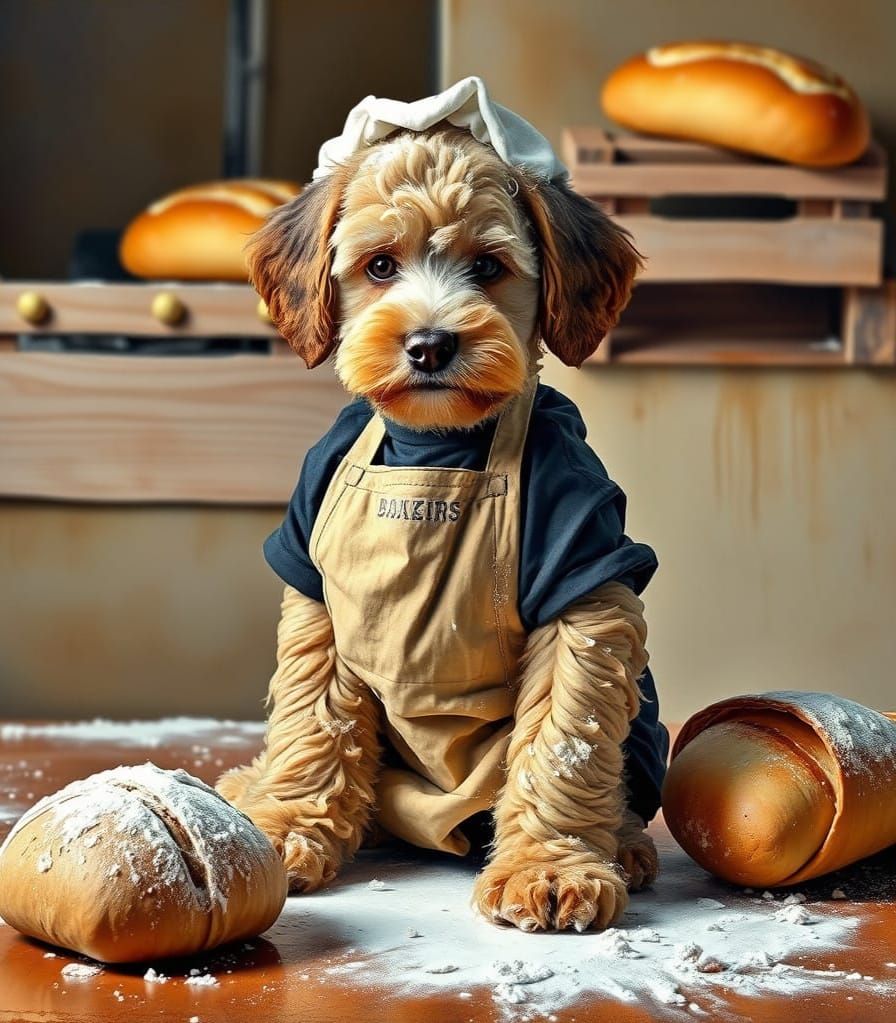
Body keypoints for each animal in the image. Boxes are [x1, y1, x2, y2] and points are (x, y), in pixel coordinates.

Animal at [214, 114, 666, 937]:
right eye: (380, 265)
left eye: (487, 266)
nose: (429, 344)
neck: (436, 445)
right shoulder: (316, 590)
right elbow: (311, 719)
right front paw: (289, 825)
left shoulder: (584, 576)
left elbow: (563, 738)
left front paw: (548, 866)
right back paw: (253, 786)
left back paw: (621, 842)